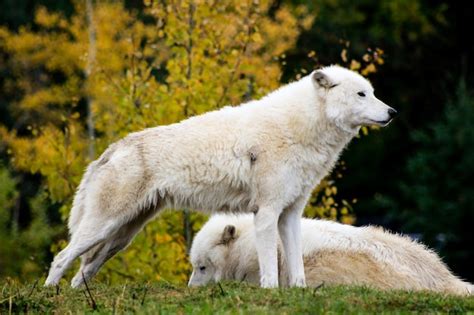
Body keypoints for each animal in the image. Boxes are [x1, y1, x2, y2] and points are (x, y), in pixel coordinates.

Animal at [44, 66, 394, 288]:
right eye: (361, 94)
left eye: (373, 93)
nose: (392, 113)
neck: (299, 128)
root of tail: (114, 148)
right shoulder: (266, 213)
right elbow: (270, 268)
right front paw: (270, 293)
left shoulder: (291, 214)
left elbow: (298, 269)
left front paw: (299, 293)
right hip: (103, 227)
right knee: (61, 257)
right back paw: (50, 293)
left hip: (121, 236)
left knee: (84, 269)